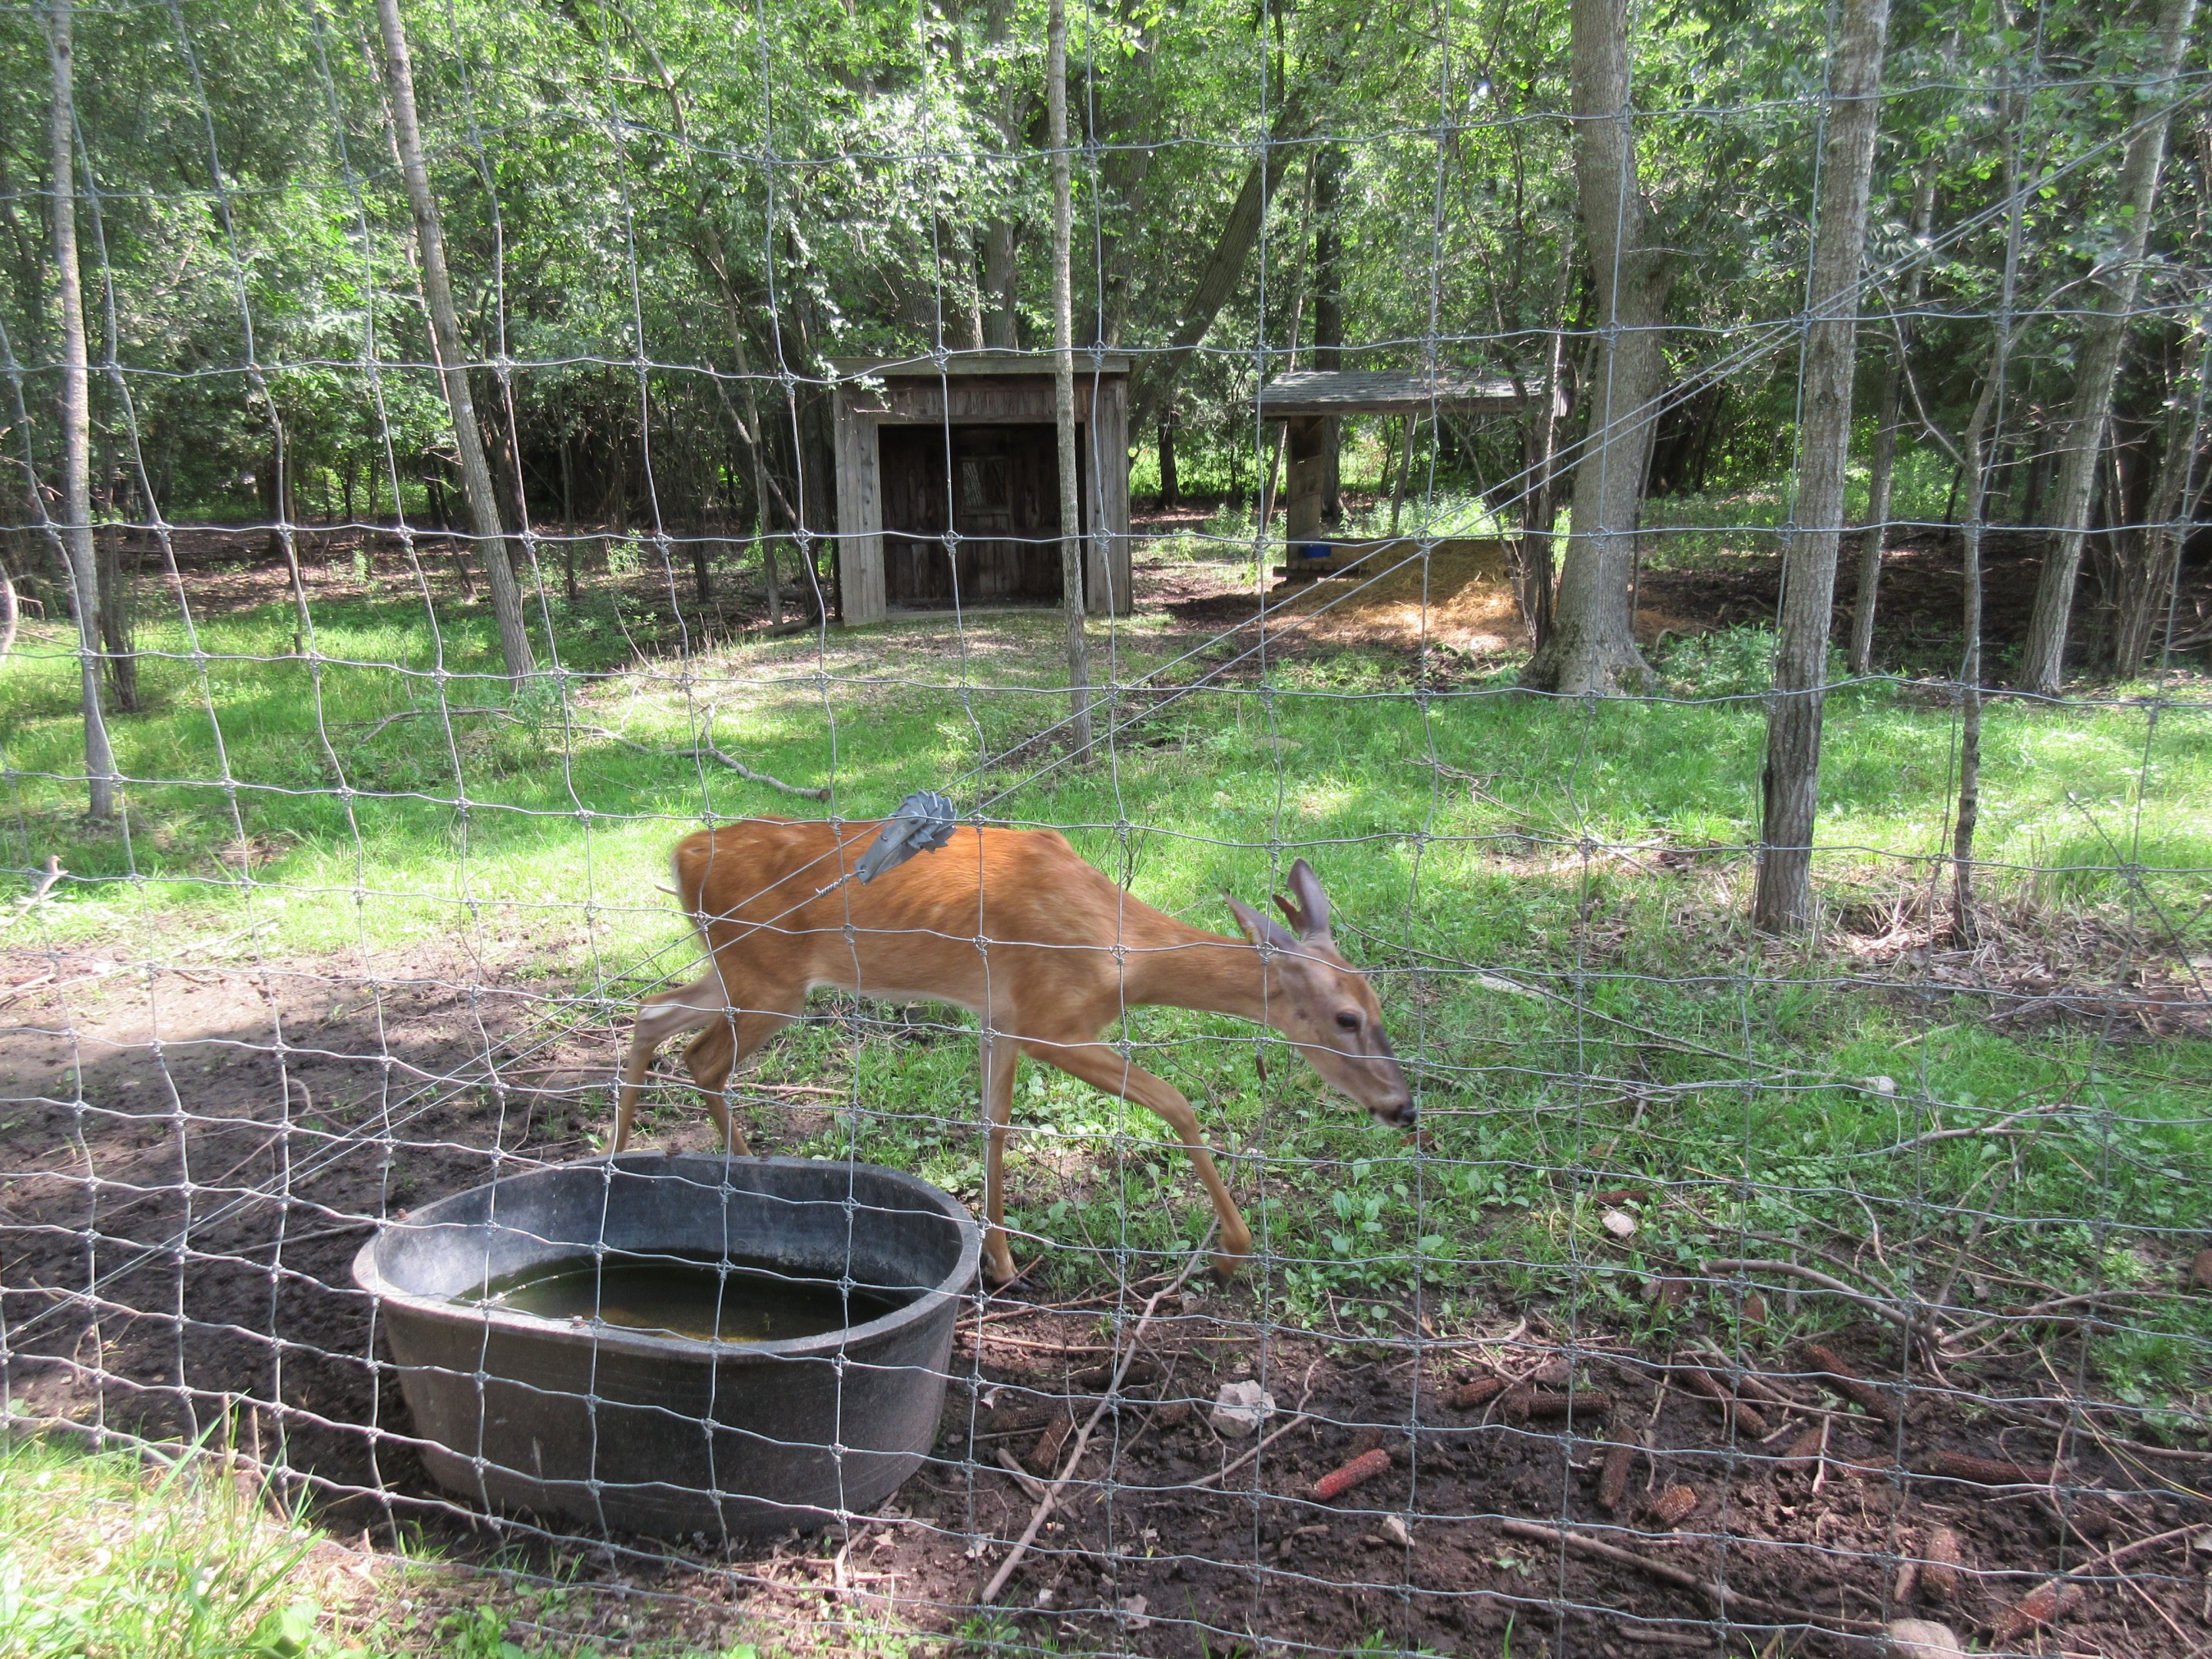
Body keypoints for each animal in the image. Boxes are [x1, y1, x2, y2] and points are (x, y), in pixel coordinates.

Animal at [611, 816, 1413, 1286]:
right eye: (1345, 1018)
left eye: (1380, 1007)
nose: (1402, 1106)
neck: (1123, 953)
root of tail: (681, 850)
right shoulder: (1053, 1021)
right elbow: (1176, 1103)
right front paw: (1233, 1250)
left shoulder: (1000, 1017)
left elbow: (992, 1124)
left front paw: (999, 1260)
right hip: (768, 978)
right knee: (701, 1055)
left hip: (738, 969)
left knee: (652, 1016)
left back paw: (635, 1167)